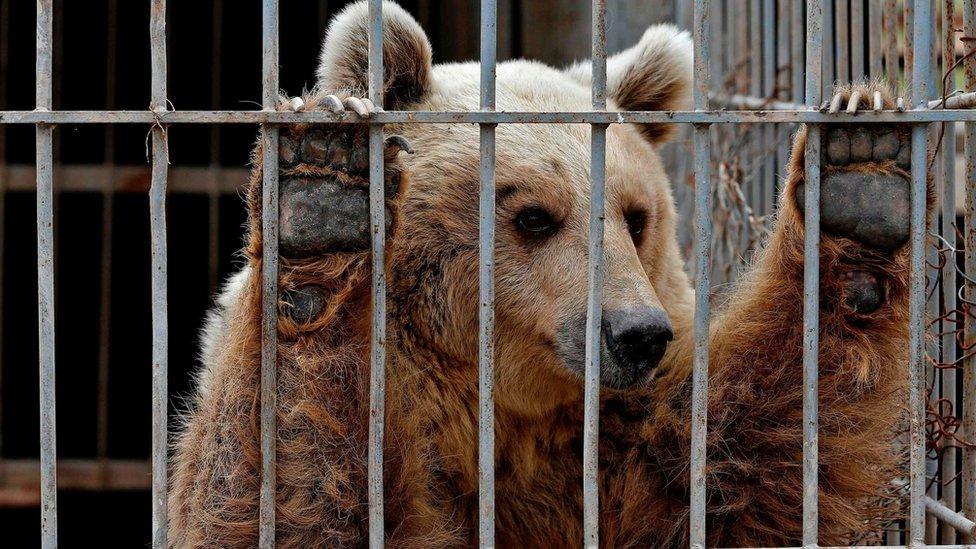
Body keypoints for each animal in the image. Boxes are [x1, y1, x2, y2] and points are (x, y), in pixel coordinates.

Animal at [168, 2, 924, 544]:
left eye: (635, 216)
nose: (637, 334)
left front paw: (860, 171)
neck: (502, 415)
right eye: (533, 216)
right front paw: (326, 193)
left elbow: (741, 464)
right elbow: (294, 481)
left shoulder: (617, 452)